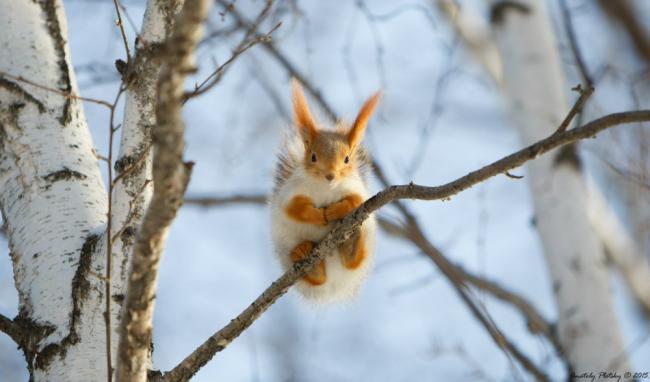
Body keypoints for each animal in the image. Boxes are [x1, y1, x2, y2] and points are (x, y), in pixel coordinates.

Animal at [268, 79, 380, 302]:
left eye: (347, 159)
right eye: (313, 156)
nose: (330, 176)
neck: (326, 189)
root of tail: (335, 286)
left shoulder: (356, 190)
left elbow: (354, 201)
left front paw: (335, 210)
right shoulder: (291, 194)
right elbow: (296, 209)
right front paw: (319, 215)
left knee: (354, 261)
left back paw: (352, 243)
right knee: (317, 279)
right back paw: (304, 255)